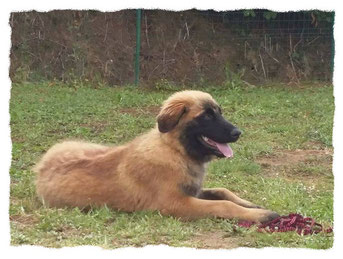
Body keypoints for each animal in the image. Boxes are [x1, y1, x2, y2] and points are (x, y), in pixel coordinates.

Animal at [34, 90, 280, 223]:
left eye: (219, 112)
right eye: (207, 116)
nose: (238, 133)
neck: (175, 151)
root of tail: (40, 166)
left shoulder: (193, 191)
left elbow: (223, 191)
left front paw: (251, 205)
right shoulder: (175, 204)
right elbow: (223, 205)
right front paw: (262, 215)